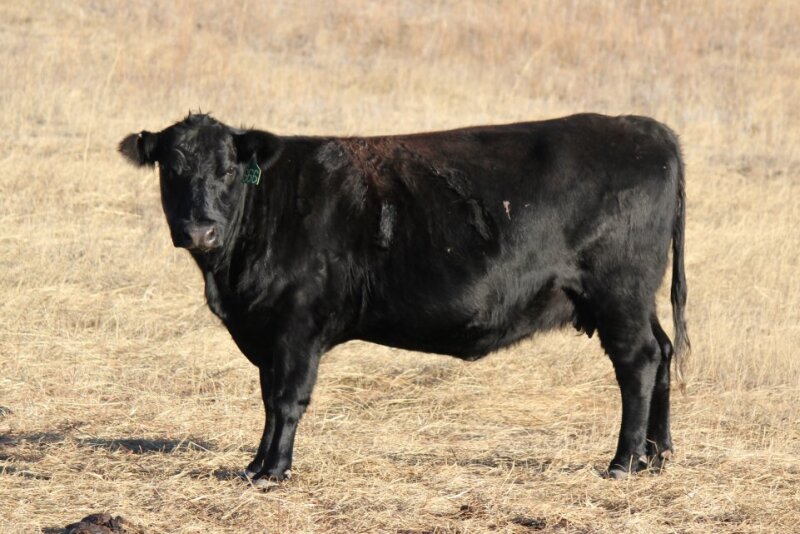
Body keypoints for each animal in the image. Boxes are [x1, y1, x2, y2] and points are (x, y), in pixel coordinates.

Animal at [119, 112, 689, 484]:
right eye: (172, 169)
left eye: (228, 170)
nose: (200, 230)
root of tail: (644, 127)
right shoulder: (267, 333)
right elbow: (268, 399)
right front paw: (256, 463)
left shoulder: (296, 326)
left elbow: (286, 399)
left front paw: (272, 471)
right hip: (637, 300)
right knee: (663, 354)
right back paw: (657, 456)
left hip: (619, 294)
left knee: (639, 363)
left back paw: (623, 463)